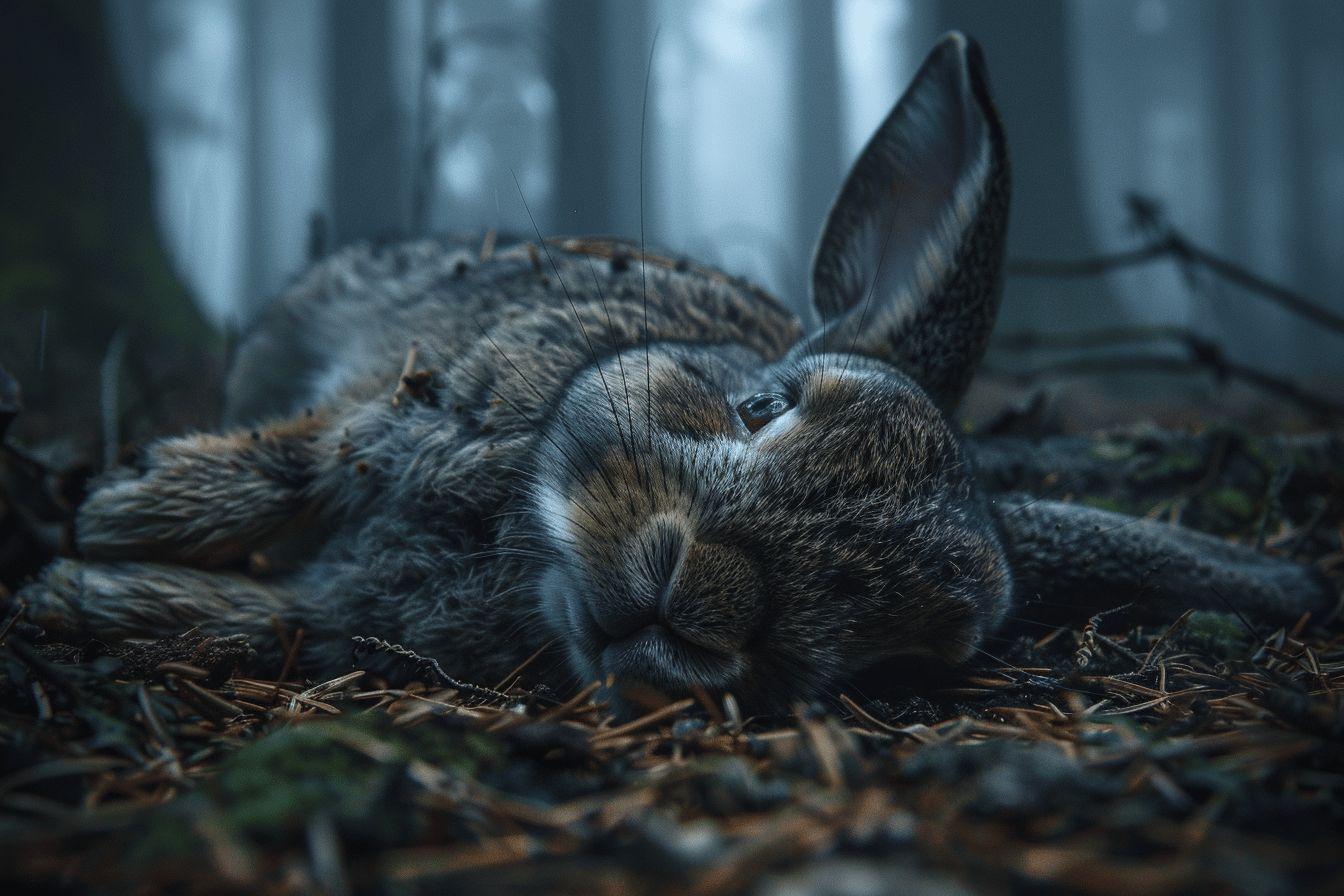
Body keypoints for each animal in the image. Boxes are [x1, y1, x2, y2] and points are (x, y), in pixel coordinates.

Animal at [17, 33, 1335, 711]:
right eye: (767, 406)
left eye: (904, 647)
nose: (696, 595)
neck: (520, 549)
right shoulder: (411, 401)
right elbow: (297, 464)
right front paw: (119, 513)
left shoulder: (349, 608)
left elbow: (262, 618)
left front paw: (90, 590)